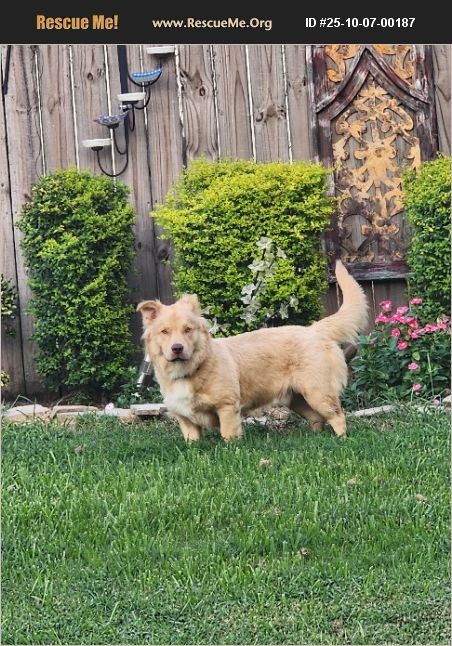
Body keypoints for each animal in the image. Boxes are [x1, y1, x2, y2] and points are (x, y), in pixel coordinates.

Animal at [137, 261, 368, 441]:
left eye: (187, 329)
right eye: (164, 331)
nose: (177, 348)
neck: (190, 370)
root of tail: (313, 329)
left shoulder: (227, 407)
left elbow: (228, 435)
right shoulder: (185, 419)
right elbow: (192, 441)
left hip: (318, 392)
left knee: (337, 416)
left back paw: (341, 440)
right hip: (297, 399)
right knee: (317, 418)